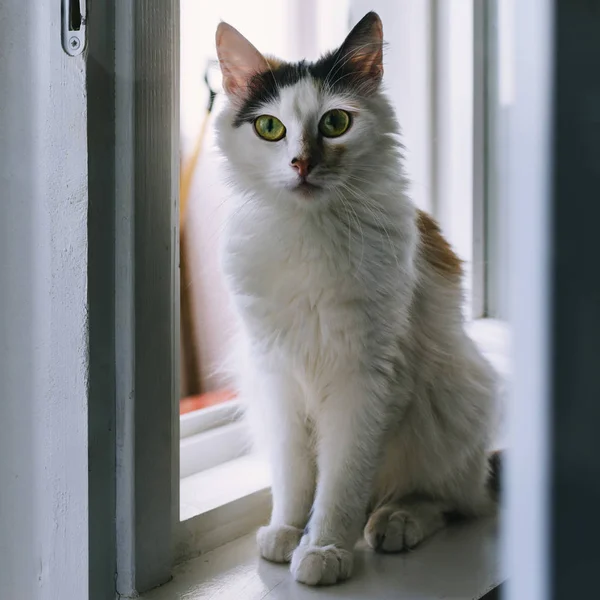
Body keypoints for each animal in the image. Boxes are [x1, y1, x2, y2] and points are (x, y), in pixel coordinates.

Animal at [213, 11, 500, 588]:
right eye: (270, 128)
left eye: (335, 124)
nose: (301, 164)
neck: (307, 234)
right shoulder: (277, 373)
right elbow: (294, 473)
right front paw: (288, 529)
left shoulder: (363, 378)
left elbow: (342, 479)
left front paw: (323, 548)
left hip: (454, 395)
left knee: (450, 500)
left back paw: (395, 521)